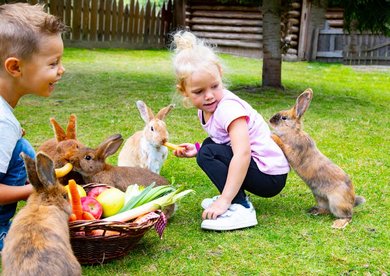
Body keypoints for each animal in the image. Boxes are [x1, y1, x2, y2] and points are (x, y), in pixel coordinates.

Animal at [268, 88, 366, 229]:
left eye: (284, 118)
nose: (270, 120)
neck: (293, 132)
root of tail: (352, 201)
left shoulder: (294, 151)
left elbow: (283, 145)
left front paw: (274, 136)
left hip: (337, 203)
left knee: (348, 216)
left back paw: (337, 224)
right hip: (320, 198)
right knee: (326, 210)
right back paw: (314, 211)